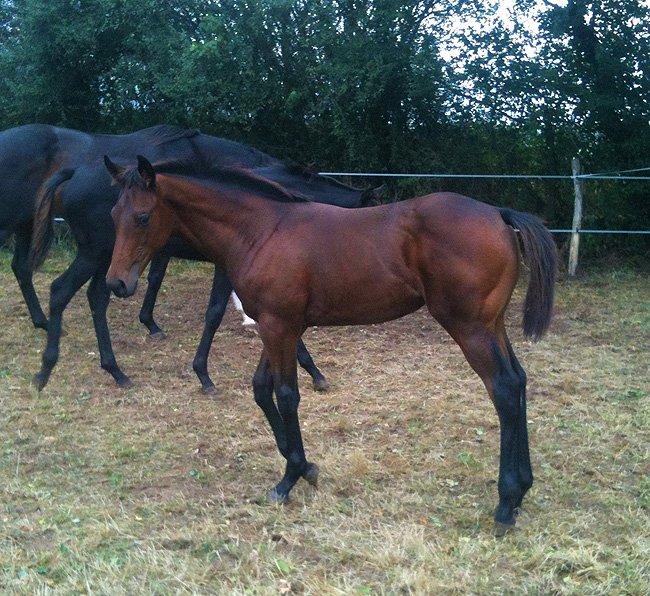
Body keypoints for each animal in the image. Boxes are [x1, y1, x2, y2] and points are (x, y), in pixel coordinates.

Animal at [28, 134, 377, 391]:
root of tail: (75, 173)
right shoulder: (227, 267)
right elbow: (215, 313)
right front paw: (203, 374)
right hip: (95, 254)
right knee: (61, 291)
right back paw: (47, 368)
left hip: (107, 261)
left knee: (97, 297)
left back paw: (113, 370)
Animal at [104, 155, 557, 535]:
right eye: (113, 214)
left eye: (143, 216)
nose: (117, 283)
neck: (260, 230)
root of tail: (500, 215)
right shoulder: (276, 326)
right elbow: (261, 389)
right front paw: (303, 466)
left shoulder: (279, 326)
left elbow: (286, 394)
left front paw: (290, 477)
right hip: (492, 325)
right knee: (518, 381)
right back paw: (523, 490)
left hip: (469, 327)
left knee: (502, 389)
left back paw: (505, 503)